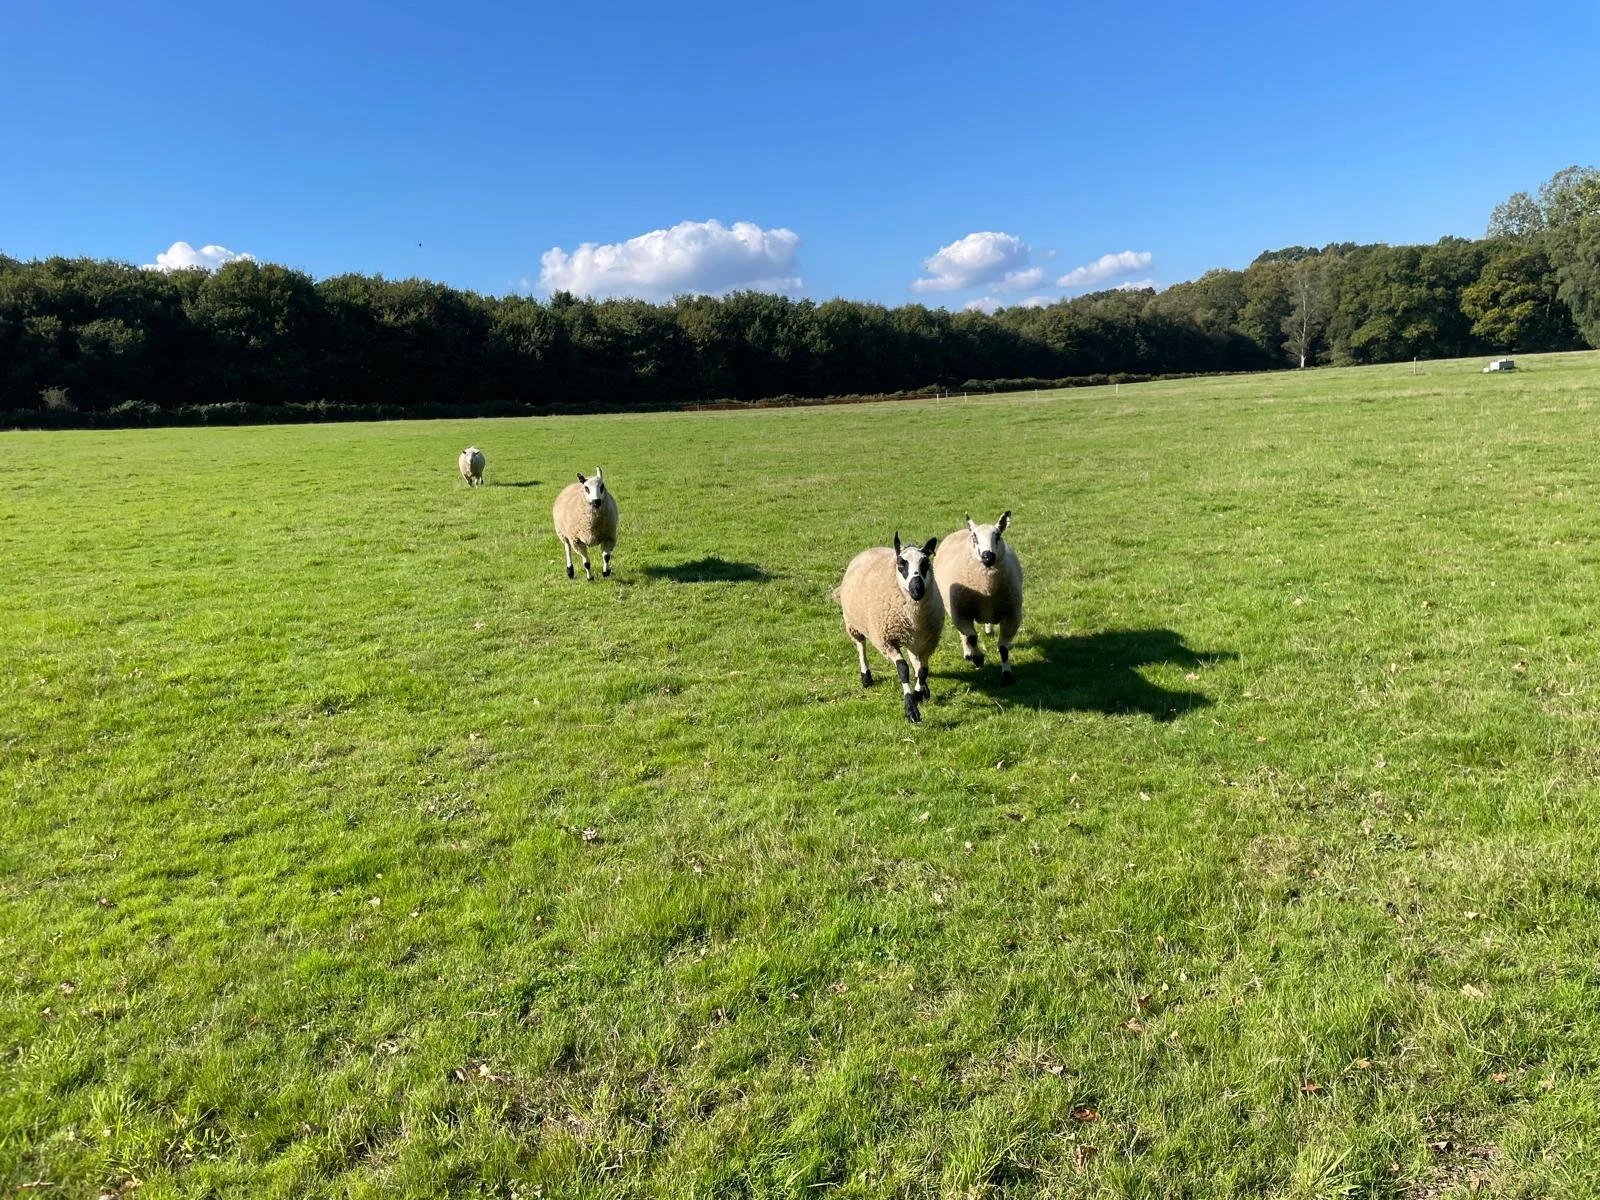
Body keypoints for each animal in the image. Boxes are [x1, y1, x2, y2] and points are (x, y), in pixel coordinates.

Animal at [833, 533, 945, 723]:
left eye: (925, 563)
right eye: (901, 564)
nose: (917, 590)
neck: (914, 616)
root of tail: (870, 549)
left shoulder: (928, 641)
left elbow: (923, 670)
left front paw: (919, 692)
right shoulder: (887, 641)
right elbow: (903, 669)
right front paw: (911, 709)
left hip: (914, 639)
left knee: (915, 660)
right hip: (853, 623)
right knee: (861, 646)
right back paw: (866, 677)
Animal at [933, 510, 1023, 685]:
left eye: (998, 535)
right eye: (975, 537)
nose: (988, 556)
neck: (986, 585)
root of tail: (962, 530)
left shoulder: (1012, 615)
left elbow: (1003, 648)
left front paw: (1007, 675)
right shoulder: (961, 612)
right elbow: (972, 637)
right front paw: (978, 658)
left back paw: (988, 629)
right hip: (955, 610)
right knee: (965, 634)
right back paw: (969, 653)